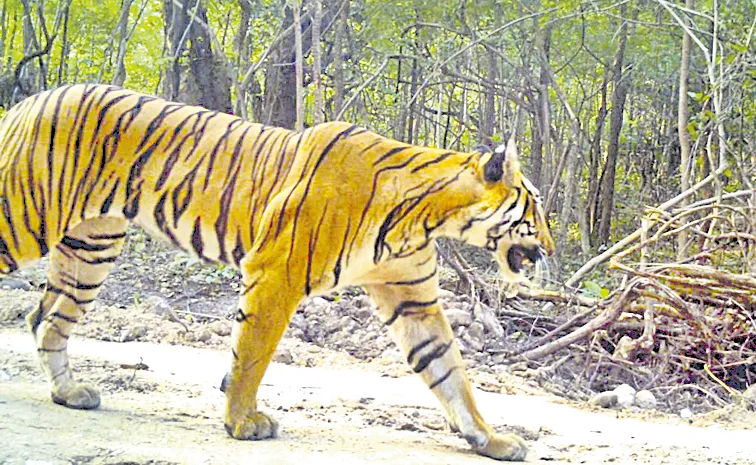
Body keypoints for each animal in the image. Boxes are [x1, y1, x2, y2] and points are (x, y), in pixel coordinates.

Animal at [1, 84, 556, 460]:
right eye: (536, 209)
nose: (551, 249)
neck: (426, 218)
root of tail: (30, 100)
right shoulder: (276, 273)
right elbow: (252, 355)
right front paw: (241, 422)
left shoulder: (413, 299)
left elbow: (448, 370)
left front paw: (490, 438)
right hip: (25, 222)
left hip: (91, 246)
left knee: (46, 321)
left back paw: (69, 394)